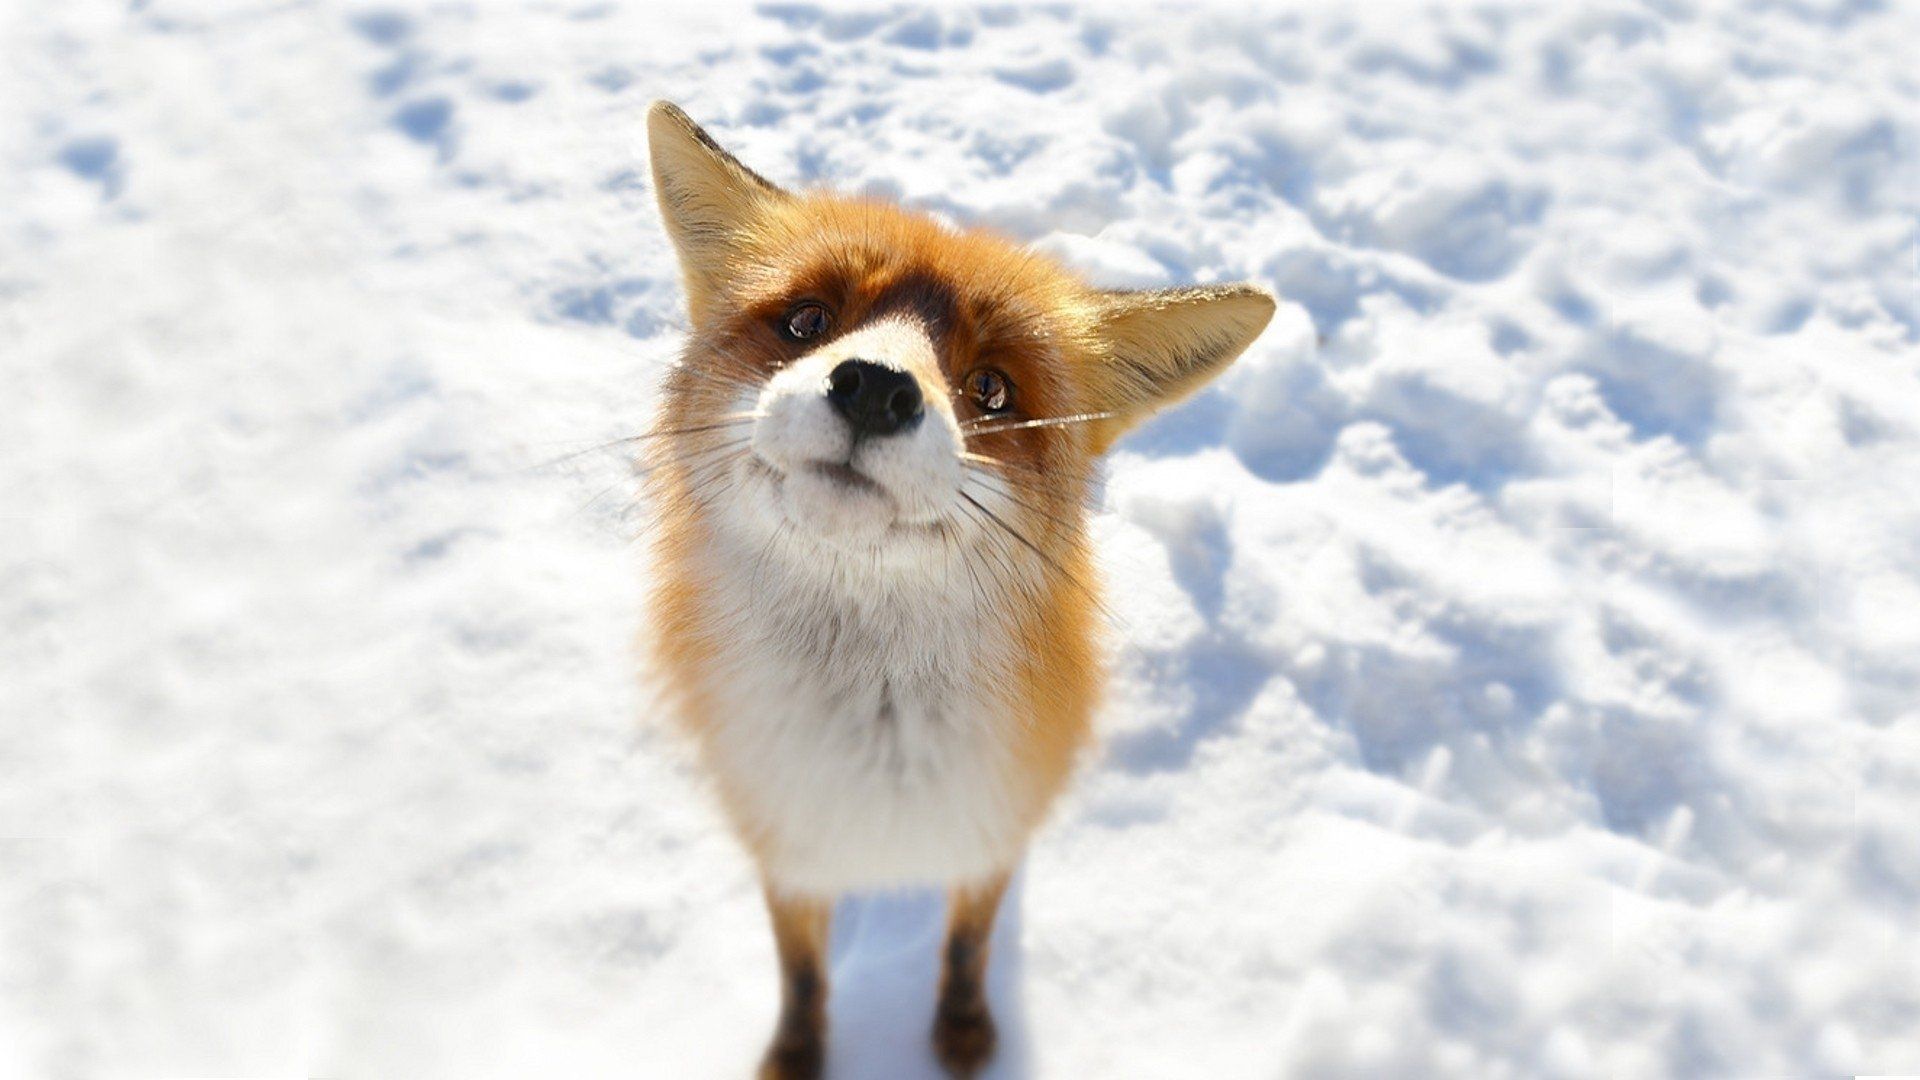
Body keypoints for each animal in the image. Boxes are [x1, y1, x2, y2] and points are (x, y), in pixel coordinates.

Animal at [641, 100, 1274, 1079]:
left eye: (992, 388)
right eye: (807, 320)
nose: (873, 389)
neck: (876, 752)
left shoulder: (992, 830)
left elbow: (969, 944)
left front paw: (965, 1034)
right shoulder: (783, 842)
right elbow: (802, 972)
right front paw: (797, 1055)